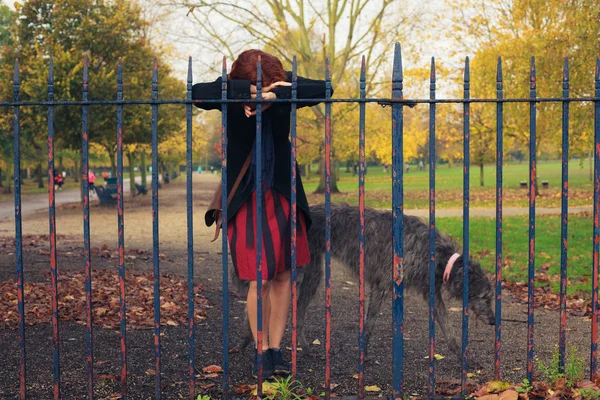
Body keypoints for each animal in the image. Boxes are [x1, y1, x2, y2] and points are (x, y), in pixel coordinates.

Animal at [232, 203, 494, 360]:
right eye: (484, 297)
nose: (493, 321)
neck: (436, 254)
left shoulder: (429, 290)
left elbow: (446, 322)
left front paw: (461, 355)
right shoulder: (383, 284)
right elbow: (369, 324)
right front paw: (364, 353)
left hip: (313, 273)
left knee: (298, 309)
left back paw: (302, 346)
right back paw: (248, 340)